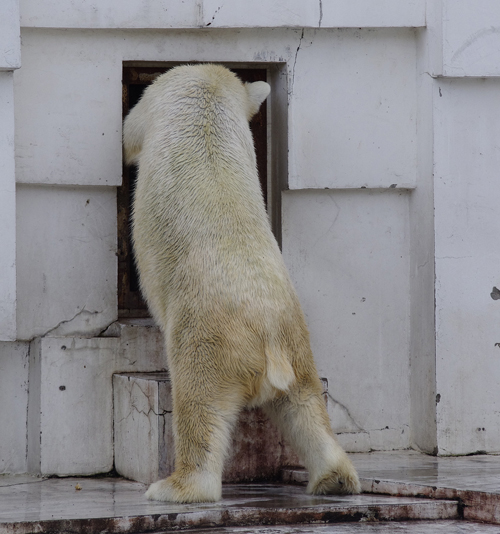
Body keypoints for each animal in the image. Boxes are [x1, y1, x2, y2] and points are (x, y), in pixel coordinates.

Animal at [123, 65, 362, 504]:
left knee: (198, 406)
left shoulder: (162, 94)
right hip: (297, 342)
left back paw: (174, 487)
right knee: (303, 407)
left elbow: (131, 131)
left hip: (205, 341)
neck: (210, 93)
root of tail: (267, 338)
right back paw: (335, 478)